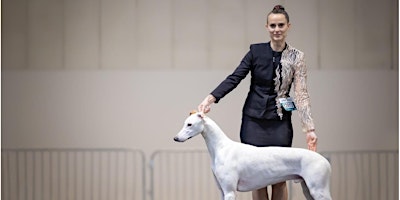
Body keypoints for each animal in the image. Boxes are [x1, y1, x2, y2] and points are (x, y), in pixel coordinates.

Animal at [172, 111, 332, 199]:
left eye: (189, 124)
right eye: (185, 123)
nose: (175, 138)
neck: (221, 147)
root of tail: (325, 160)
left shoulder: (230, 191)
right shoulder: (222, 191)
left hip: (318, 190)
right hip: (308, 190)